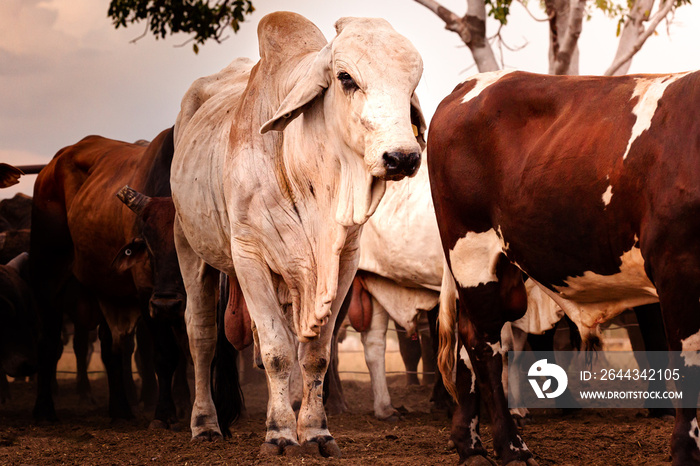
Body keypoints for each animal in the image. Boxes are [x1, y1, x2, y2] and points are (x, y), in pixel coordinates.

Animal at [170, 12, 426, 456]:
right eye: (345, 77)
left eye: (411, 84)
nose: (402, 157)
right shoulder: (249, 256)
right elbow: (276, 352)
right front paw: (278, 433)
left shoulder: (342, 263)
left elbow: (315, 354)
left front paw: (316, 430)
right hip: (189, 245)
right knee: (200, 332)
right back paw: (204, 423)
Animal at [430, 70, 700, 466]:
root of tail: (471, 84)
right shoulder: (677, 267)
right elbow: (687, 360)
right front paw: (686, 451)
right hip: (471, 252)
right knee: (484, 346)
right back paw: (511, 448)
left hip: (502, 270)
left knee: (468, 343)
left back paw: (471, 446)